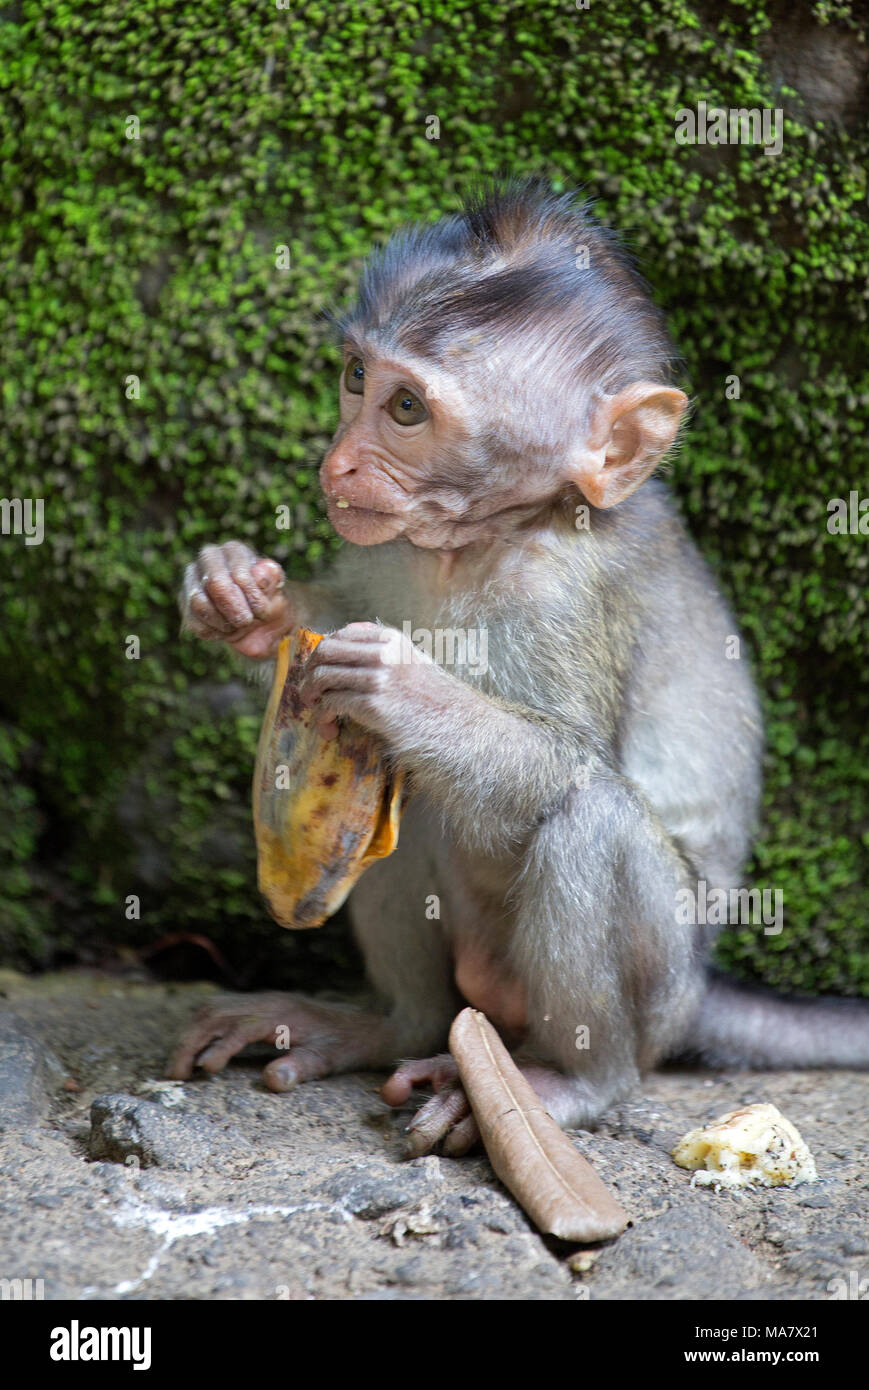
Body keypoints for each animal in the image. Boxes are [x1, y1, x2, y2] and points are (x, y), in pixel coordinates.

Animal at [169, 176, 867, 1150]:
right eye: (356, 378)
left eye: (407, 410)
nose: (339, 463)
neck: (480, 538)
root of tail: (700, 993)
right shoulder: (384, 550)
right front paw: (244, 601)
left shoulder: (562, 596)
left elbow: (566, 758)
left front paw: (406, 688)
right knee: (406, 800)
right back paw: (392, 1026)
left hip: (660, 990)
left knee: (586, 816)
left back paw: (571, 1081)